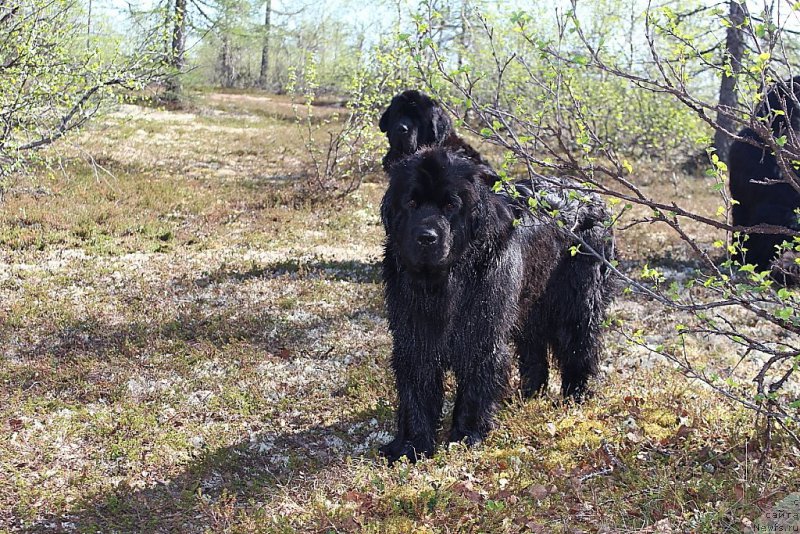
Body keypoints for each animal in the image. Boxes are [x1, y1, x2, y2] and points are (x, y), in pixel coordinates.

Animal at [378, 148, 616, 464]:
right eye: (411, 202)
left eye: (451, 205)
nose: (426, 237)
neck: (444, 281)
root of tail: (594, 197)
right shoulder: (414, 334)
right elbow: (417, 386)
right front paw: (411, 446)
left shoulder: (483, 331)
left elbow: (476, 382)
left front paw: (466, 436)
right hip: (530, 300)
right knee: (534, 346)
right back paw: (529, 394)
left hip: (578, 298)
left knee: (580, 343)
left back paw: (574, 396)